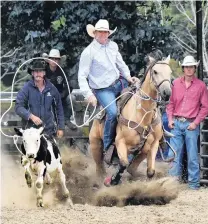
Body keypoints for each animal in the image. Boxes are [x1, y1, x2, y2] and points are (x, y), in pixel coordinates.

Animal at [89, 55, 172, 186]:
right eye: (155, 71)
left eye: (170, 72)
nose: (167, 93)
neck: (142, 114)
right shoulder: (120, 142)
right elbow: (123, 164)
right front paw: (113, 179)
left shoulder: (153, 145)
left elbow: (150, 171)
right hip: (95, 144)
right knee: (100, 168)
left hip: (141, 152)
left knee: (131, 168)